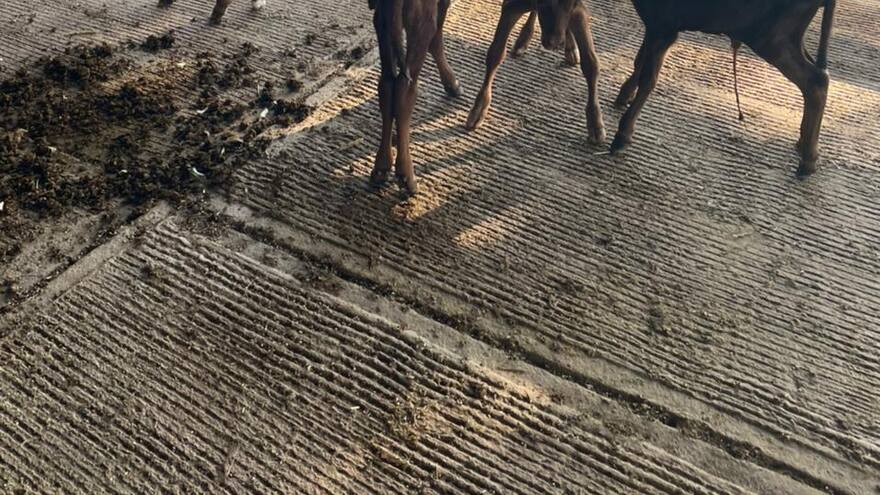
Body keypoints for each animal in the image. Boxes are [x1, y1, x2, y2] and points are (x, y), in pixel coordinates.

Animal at [368, 0, 461, 196]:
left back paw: (381, 168)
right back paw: (406, 175)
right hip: (418, 21)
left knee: (387, 84)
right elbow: (438, 31)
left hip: (383, 24)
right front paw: (451, 82)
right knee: (404, 88)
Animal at [465, 0, 606, 147]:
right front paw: (479, 109)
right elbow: (495, 54)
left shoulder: (578, 9)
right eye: (546, 4)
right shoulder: (510, 7)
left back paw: (569, 46)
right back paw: (524, 39)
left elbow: (591, 64)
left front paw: (595, 124)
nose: (554, 43)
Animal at [608, 0, 837, 176]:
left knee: (815, 81)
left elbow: (648, 78)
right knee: (818, 76)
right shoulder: (654, 26)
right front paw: (623, 96)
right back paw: (804, 143)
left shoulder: (664, 26)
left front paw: (623, 135)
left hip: (772, 37)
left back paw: (808, 160)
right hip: (787, 36)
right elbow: (639, 61)